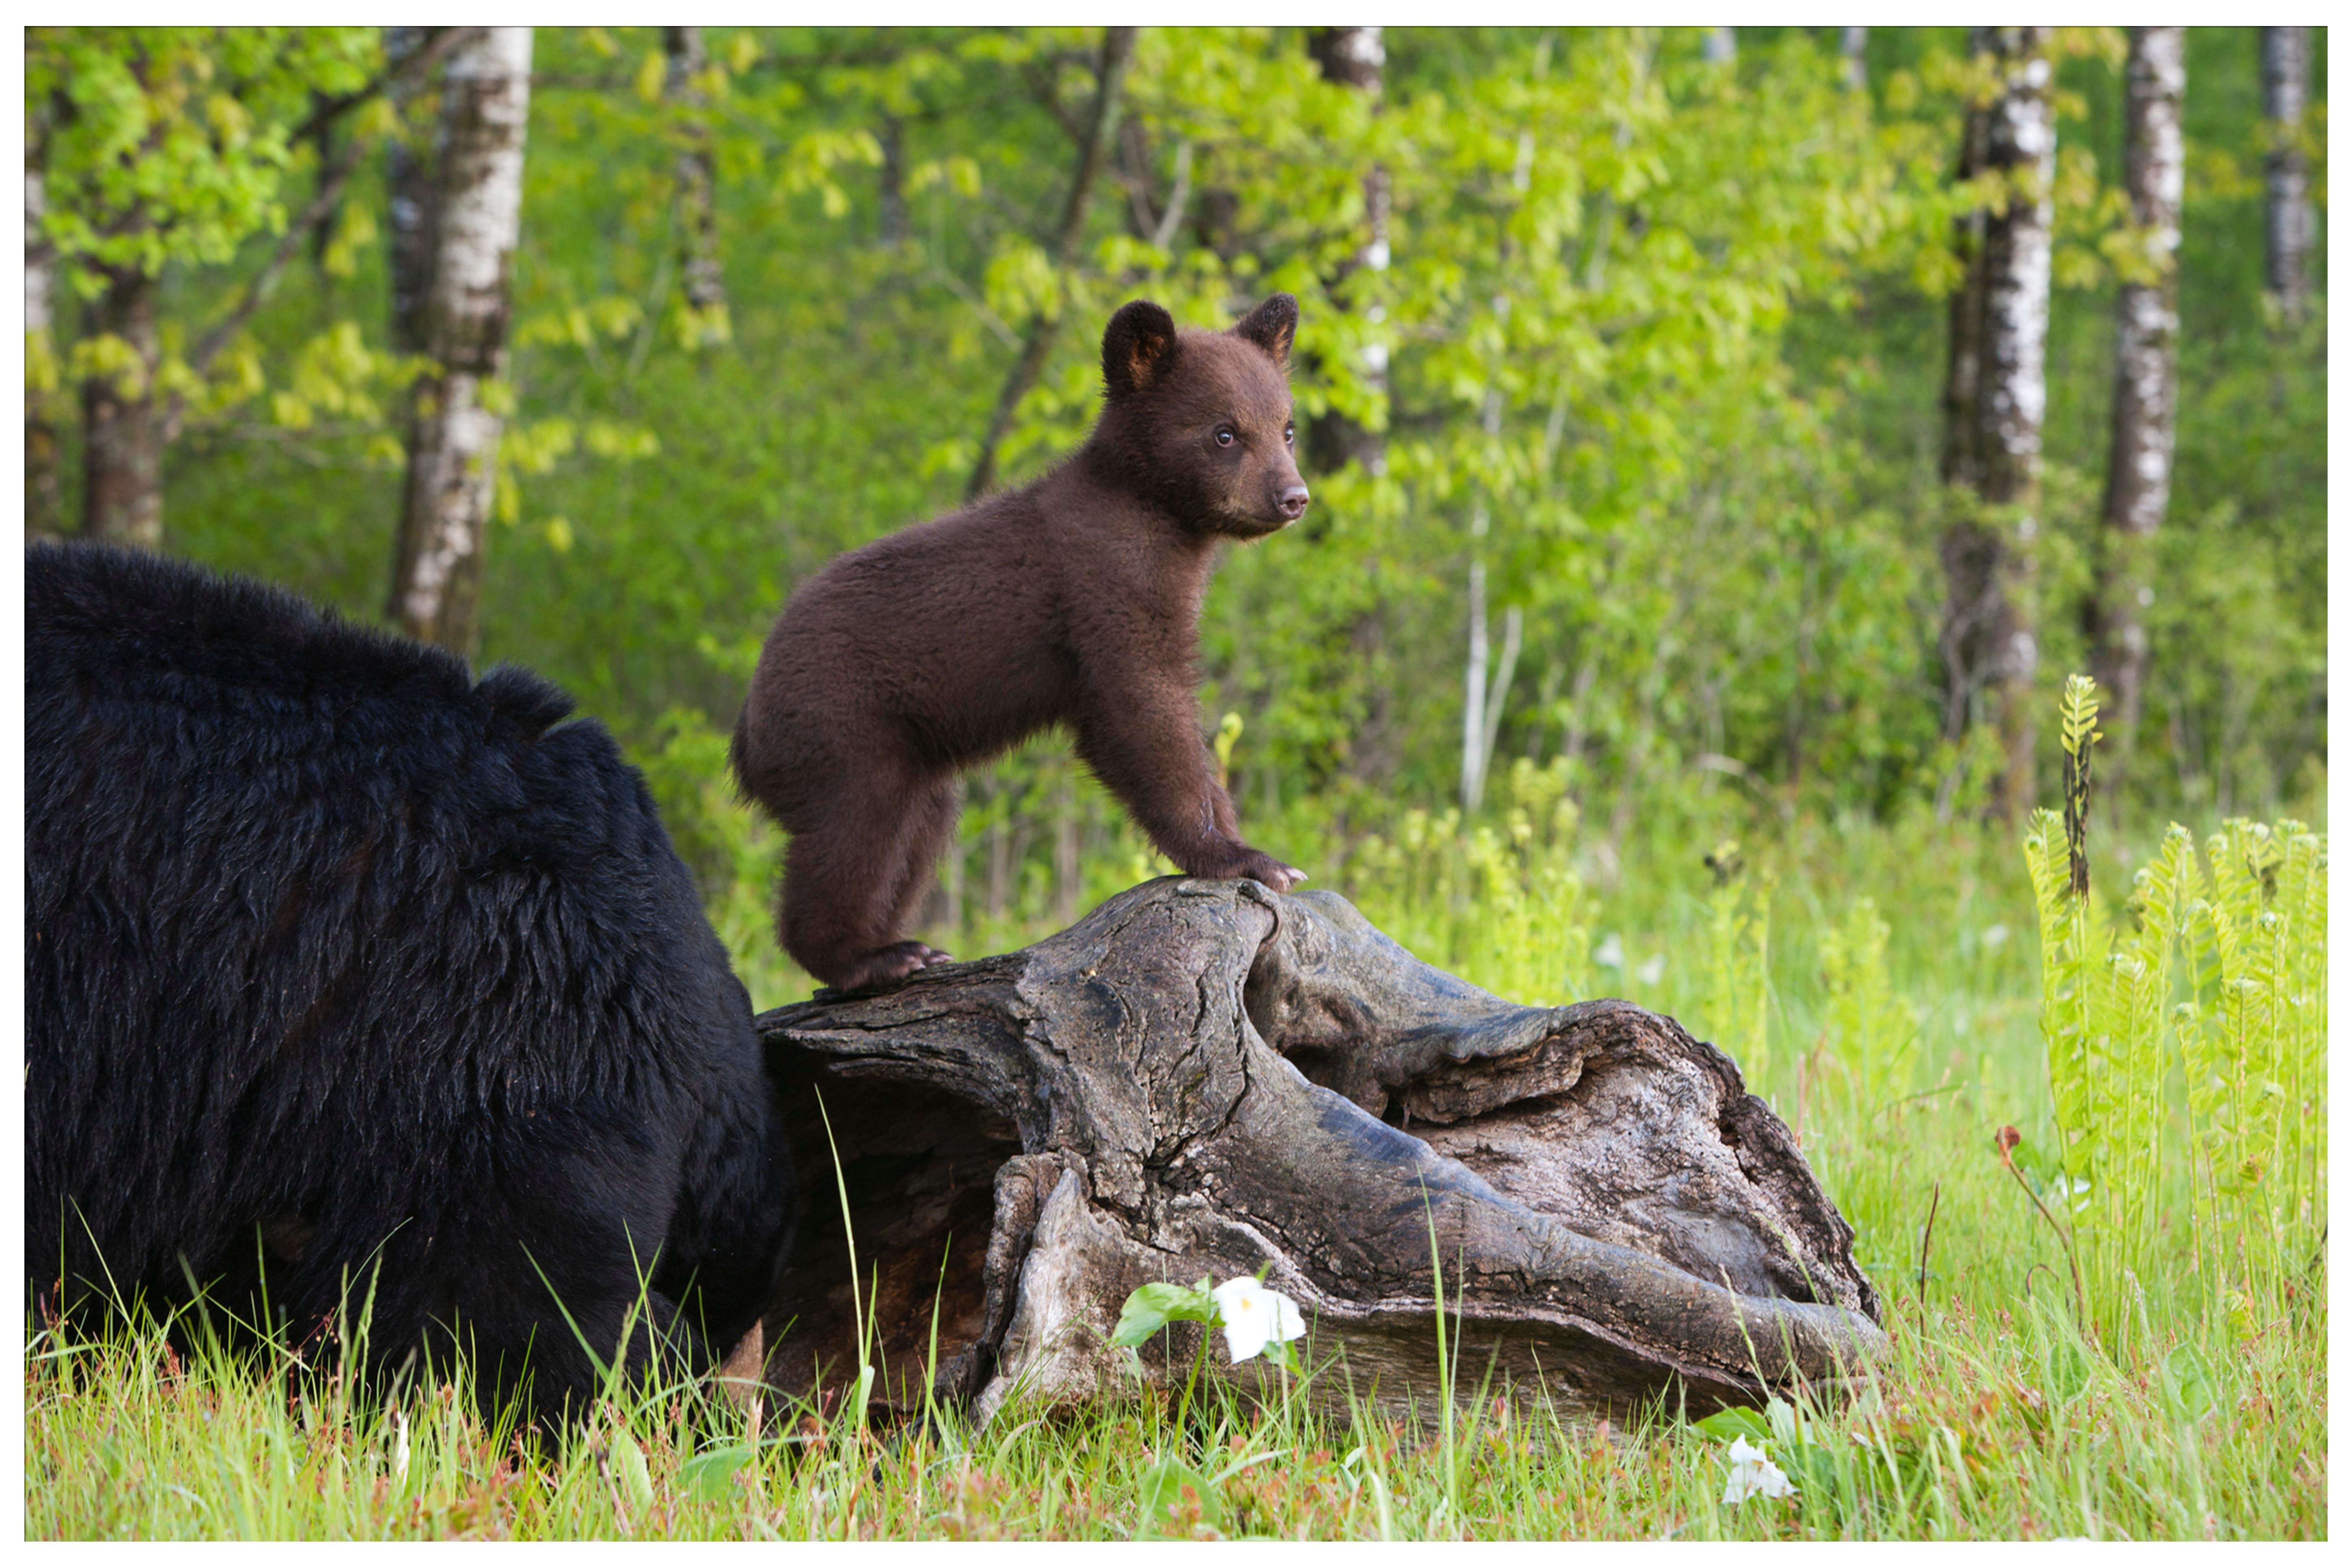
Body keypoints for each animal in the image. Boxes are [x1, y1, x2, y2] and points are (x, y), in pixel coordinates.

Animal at [738, 291, 1307, 992]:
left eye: (1286, 428)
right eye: (1224, 432)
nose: (1293, 496)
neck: (1159, 523)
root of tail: (746, 734)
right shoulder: (1104, 592)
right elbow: (1142, 712)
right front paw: (1245, 856)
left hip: (911, 755)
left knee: (918, 830)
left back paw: (910, 945)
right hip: (842, 727)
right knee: (854, 833)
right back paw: (871, 956)